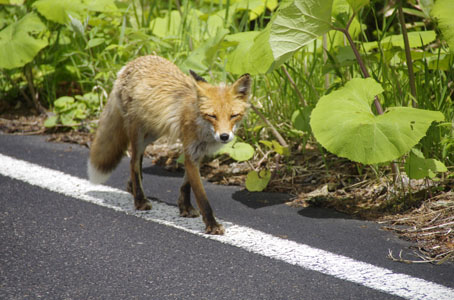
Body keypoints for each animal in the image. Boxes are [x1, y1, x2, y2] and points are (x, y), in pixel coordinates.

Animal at [88, 55, 252, 234]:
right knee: (133, 163)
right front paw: (212, 225)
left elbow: (186, 184)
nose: (224, 136)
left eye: (233, 116)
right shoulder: (191, 151)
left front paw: (185, 208)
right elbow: (202, 197)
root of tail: (131, 63)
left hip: (153, 133)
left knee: (138, 162)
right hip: (138, 134)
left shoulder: (196, 153)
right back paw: (139, 200)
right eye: (212, 116)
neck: (201, 126)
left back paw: (133, 187)